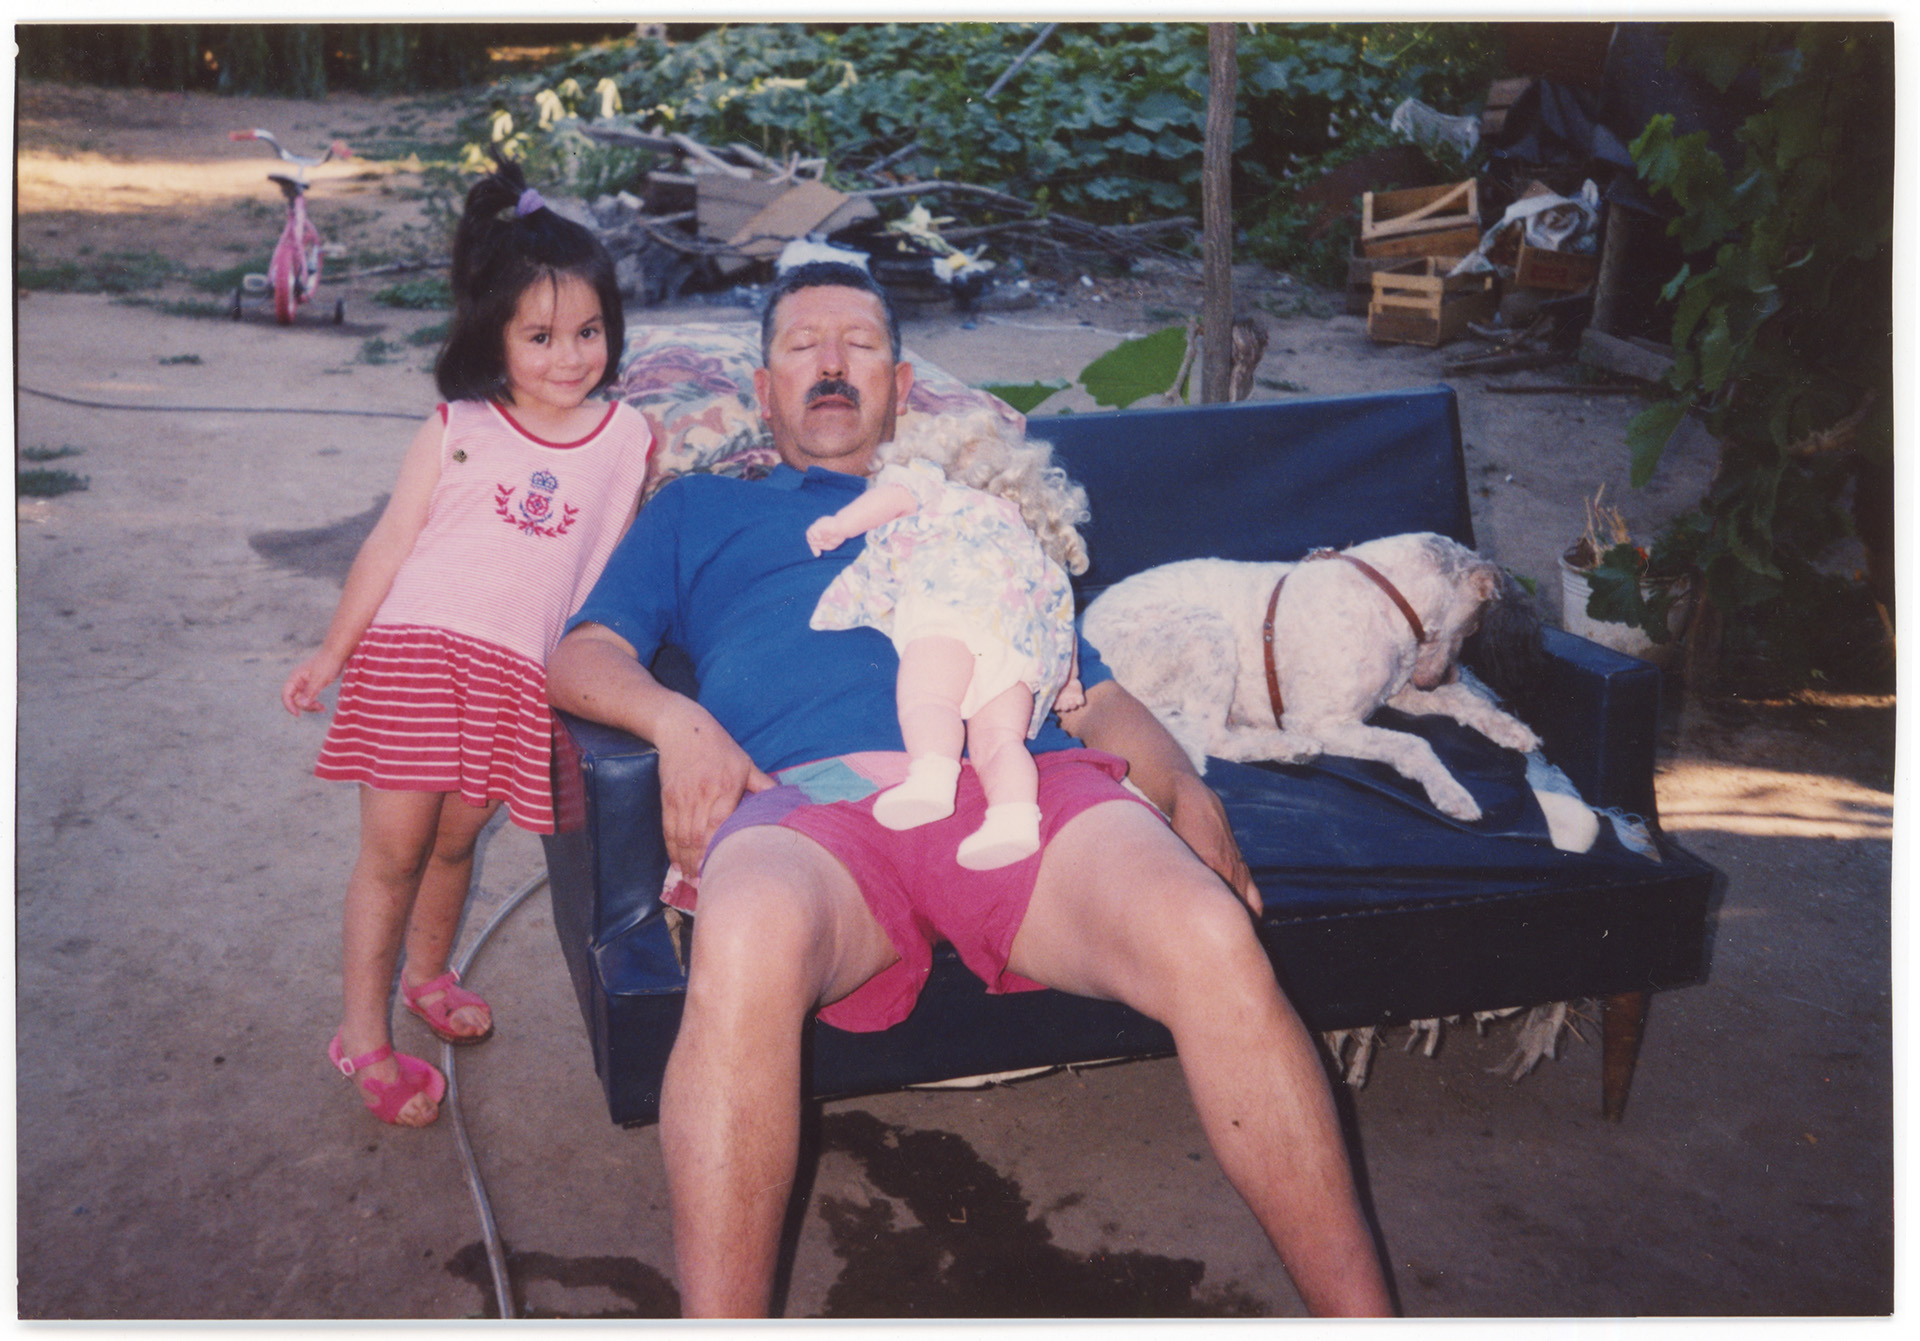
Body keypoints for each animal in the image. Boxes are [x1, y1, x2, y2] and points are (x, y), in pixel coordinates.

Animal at [1090, 526, 1551, 818]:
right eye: (1473, 627)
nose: (1442, 677)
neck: (1388, 598)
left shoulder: (1396, 692)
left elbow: (1464, 702)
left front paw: (1512, 729)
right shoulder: (1323, 721)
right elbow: (1413, 744)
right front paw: (1451, 792)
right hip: (1205, 633)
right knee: (1212, 738)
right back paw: (1289, 747)